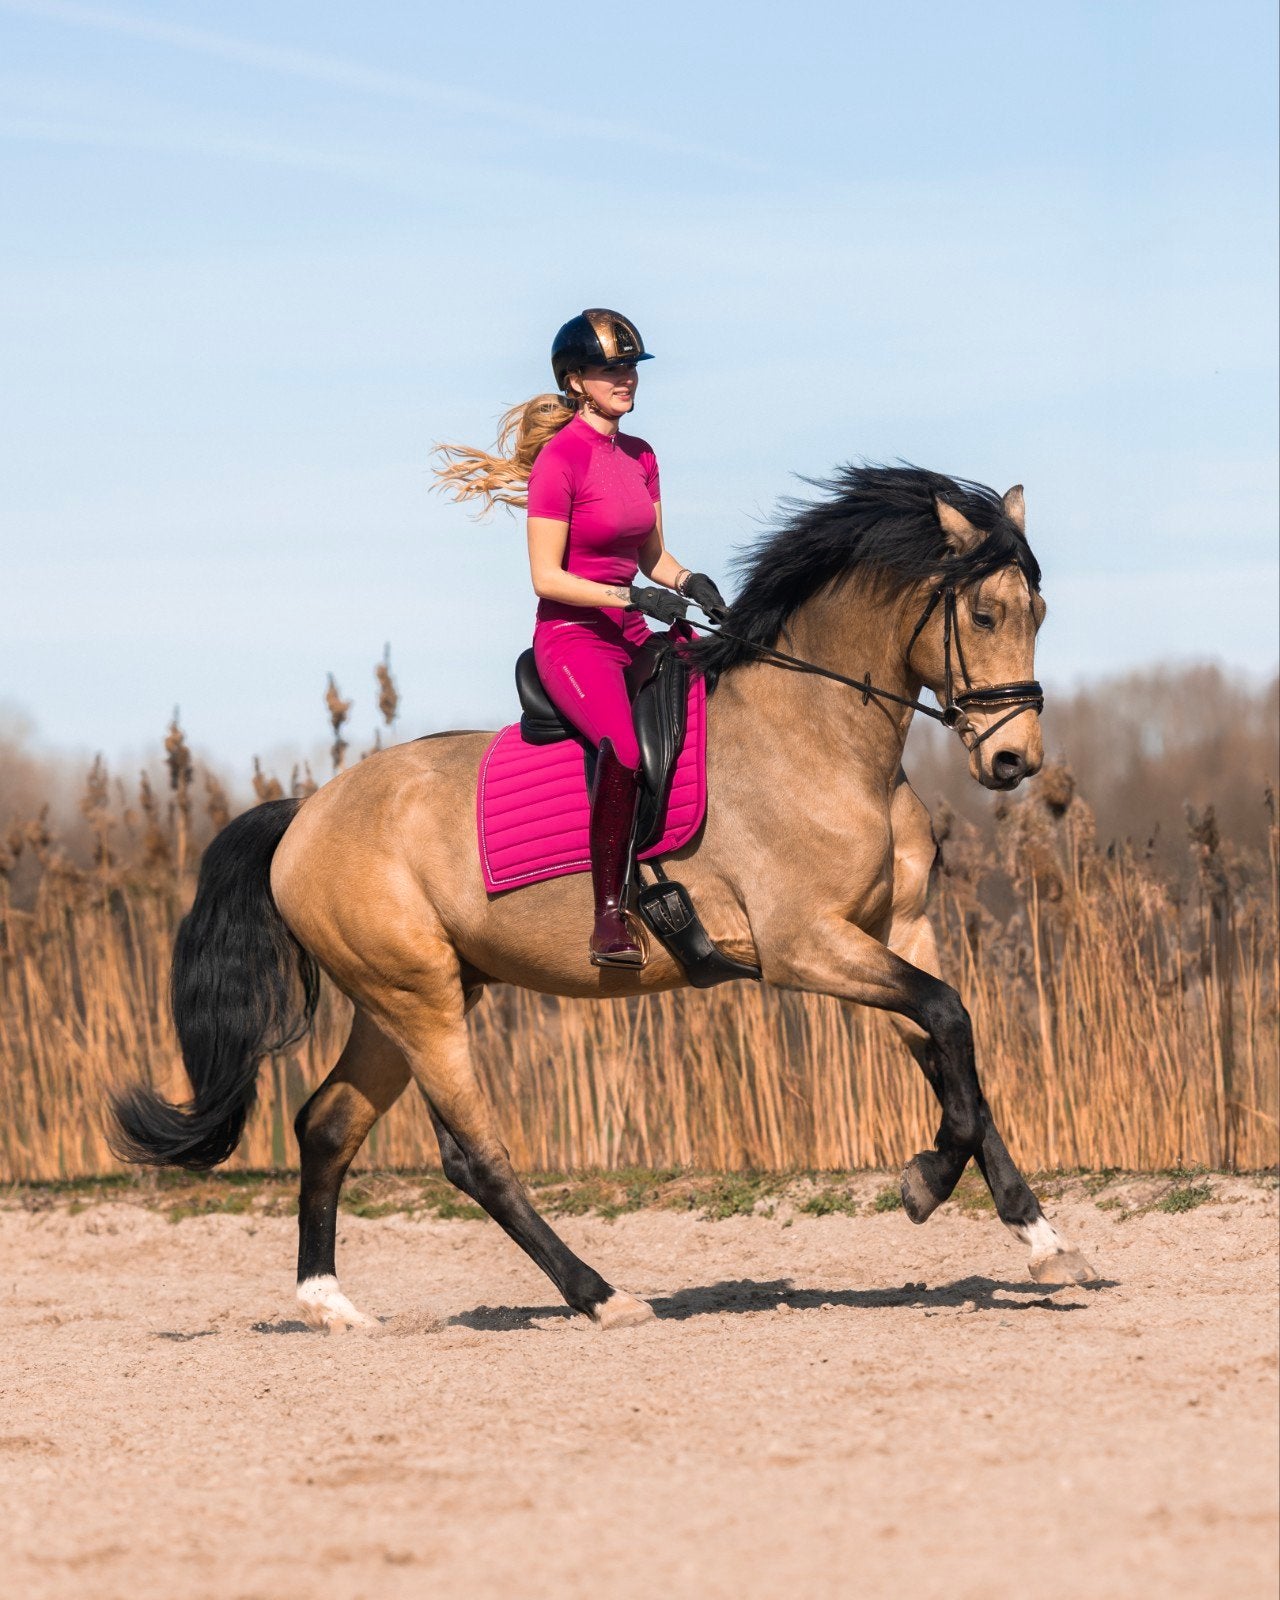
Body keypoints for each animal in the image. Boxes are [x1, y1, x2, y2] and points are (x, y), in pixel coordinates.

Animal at [111, 464, 1095, 1332]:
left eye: (1040, 612)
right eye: (985, 611)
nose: (1014, 761)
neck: (818, 735)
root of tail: (304, 816)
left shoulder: (895, 932)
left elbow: (958, 1054)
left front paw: (1043, 1241)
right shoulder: (805, 945)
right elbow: (951, 1020)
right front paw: (924, 1185)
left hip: (399, 1004)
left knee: (326, 1127)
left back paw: (332, 1307)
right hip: (417, 1000)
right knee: (473, 1158)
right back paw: (601, 1296)